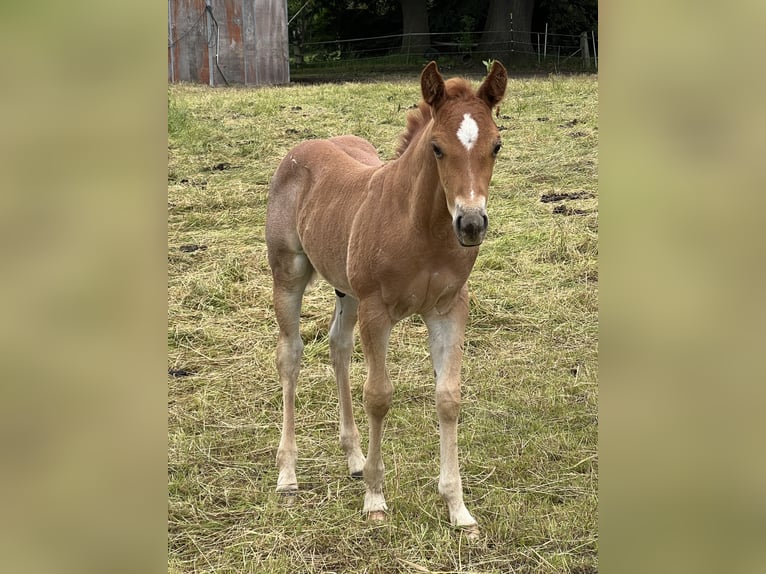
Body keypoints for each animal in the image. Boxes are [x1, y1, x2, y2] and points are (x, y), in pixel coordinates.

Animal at [265, 61, 507, 535]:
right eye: (436, 147)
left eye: (496, 145)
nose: (471, 223)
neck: (420, 227)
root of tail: (299, 150)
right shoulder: (377, 311)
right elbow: (378, 395)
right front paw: (375, 499)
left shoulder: (449, 309)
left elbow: (448, 397)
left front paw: (458, 508)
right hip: (288, 275)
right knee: (291, 355)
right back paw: (287, 474)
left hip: (347, 290)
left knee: (338, 347)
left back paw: (355, 458)